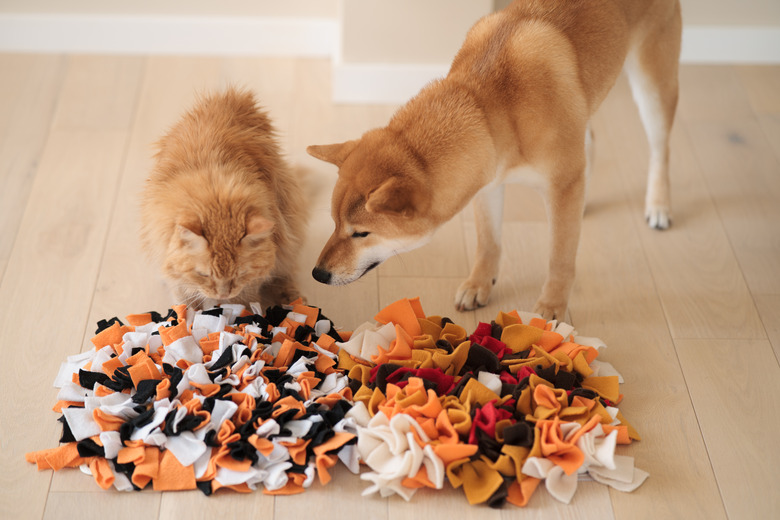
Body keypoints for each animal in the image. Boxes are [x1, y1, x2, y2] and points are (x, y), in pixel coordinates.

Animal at [140, 87, 304, 310]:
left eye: (240, 273)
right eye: (203, 275)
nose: (222, 294)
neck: (214, 195)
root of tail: (233, 96)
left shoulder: (252, 280)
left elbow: (244, 300)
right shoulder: (173, 269)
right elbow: (184, 299)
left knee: (285, 272)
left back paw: (293, 300)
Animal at [308, 0, 680, 318]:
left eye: (361, 234)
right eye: (334, 222)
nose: (317, 274)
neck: (491, 107)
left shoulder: (558, 182)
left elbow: (559, 258)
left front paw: (552, 306)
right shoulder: (487, 181)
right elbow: (489, 243)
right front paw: (480, 285)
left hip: (652, 84)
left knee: (660, 149)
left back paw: (659, 205)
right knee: (589, 145)